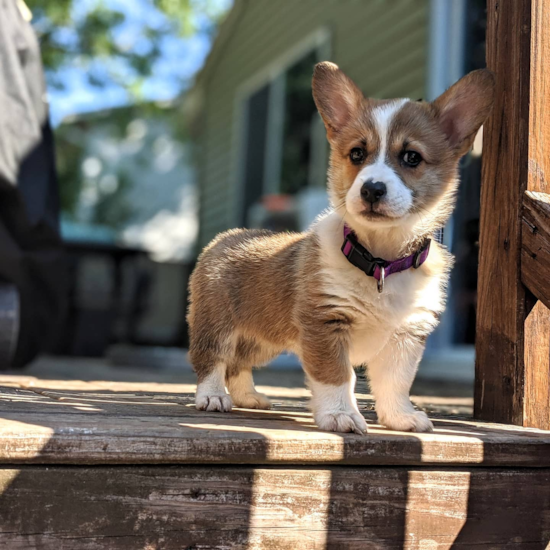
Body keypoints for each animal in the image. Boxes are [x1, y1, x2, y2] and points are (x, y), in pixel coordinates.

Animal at [189, 62, 496, 436]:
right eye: (357, 154)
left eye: (412, 157)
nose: (372, 189)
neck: (380, 259)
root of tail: (225, 237)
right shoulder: (326, 324)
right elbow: (338, 376)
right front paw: (340, 416)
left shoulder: (405, 336)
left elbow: (396, 382)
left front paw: (400, 417)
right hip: (218, 325)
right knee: (213, 359)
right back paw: (213, 396)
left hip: (263, 339)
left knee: (239, 364)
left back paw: (249, 397)